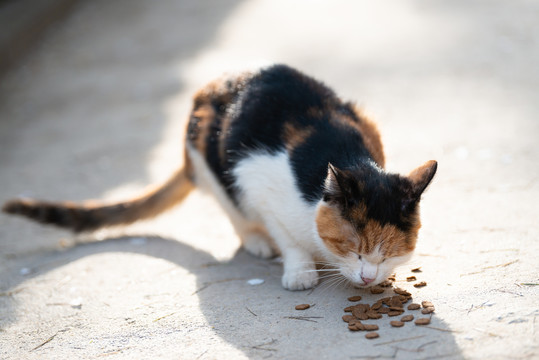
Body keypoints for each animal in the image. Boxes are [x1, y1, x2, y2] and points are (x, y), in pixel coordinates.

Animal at [2, 64, 436, 290]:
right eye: (353, 249)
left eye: (389, 253)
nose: (367, 276)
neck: (348, 157)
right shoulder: (258, 184)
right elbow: (288, 238)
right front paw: (299, 271)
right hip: (213, 166)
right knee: (232, 212)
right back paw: (257, 242)